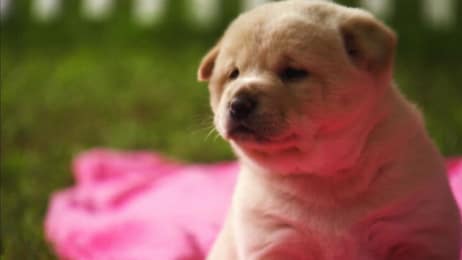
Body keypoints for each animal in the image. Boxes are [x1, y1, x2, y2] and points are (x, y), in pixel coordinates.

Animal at [197, 1, 460, 258]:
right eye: (233, 74)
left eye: (293, 72)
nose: (238, 104)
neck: (323, 177)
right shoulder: (272, 239)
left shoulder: (418, 233)